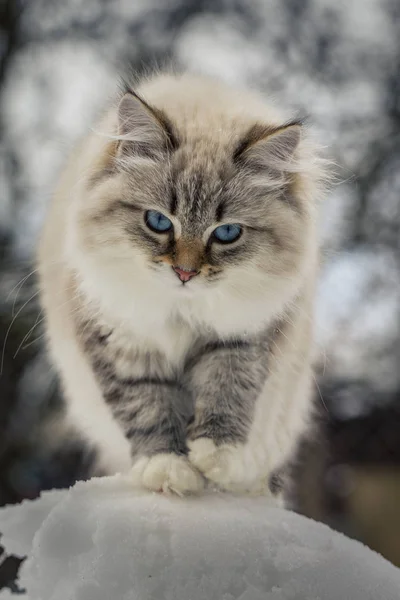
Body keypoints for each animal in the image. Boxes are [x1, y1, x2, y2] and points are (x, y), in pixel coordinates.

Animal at [36, 72, 328, 500]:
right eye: (158, 222)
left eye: (226, 233)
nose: (185, 273)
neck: (180, 310)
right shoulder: (123, 343)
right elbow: (147, 409)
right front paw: (170, 471)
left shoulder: (243, 337)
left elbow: (227, 394)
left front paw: (214, 458)